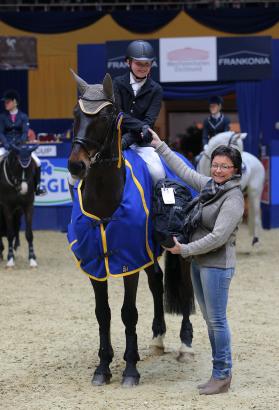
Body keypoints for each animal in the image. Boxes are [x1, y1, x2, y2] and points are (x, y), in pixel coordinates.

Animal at [68, 73, 195, 388]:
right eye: (76, 114)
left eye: (107, 115)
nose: (76, 165)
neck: (104, 199)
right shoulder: (96, 264)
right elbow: (103, 314)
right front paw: (102, 368)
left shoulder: (129, 261)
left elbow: (128, 313)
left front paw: (130, 369)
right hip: (147, 252)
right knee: (157, 281)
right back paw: (158, 338)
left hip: (180, 250)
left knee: (185, 287)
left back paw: (185, 344)